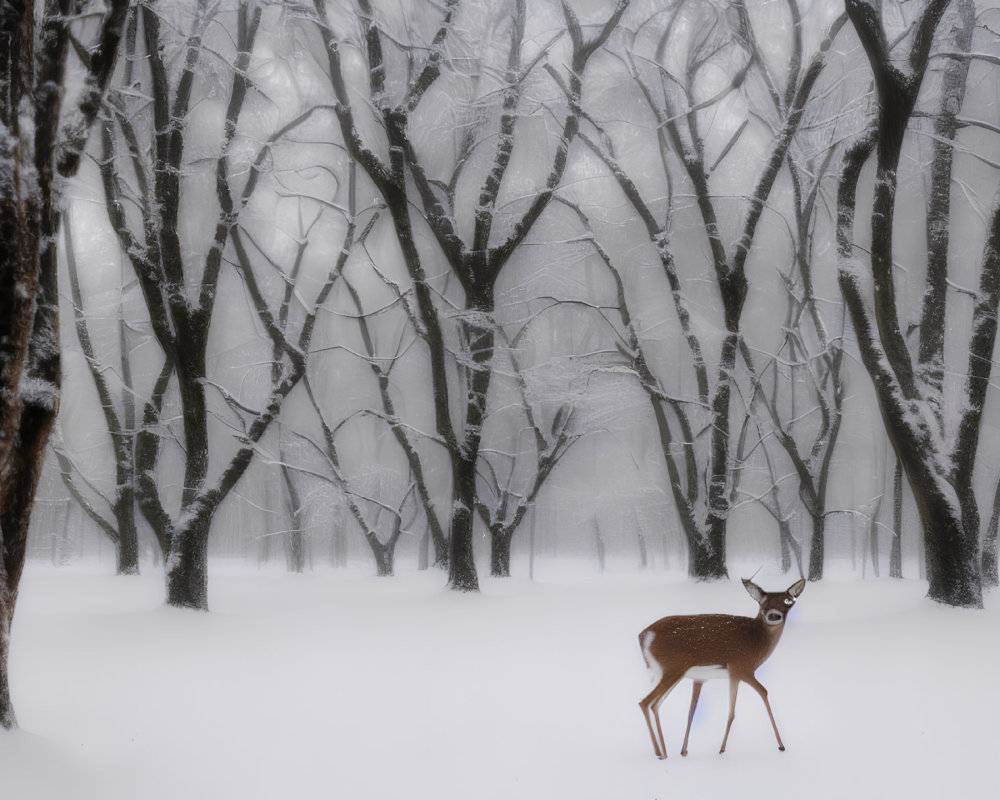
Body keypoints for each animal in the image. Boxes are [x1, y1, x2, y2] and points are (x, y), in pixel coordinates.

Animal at [640, 580, 804, 760]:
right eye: (763, 603)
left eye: (788, 601)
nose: (774, 616)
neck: (757, 644)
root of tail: (643, 636)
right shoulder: (740, 668)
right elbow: (756, 697)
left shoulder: (701, 679)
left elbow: (691, 711)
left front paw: (684, 751)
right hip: (673, 669)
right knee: (648, 703)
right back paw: (661, 753)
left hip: (663, 672)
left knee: (654, 703)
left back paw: (661, 751)